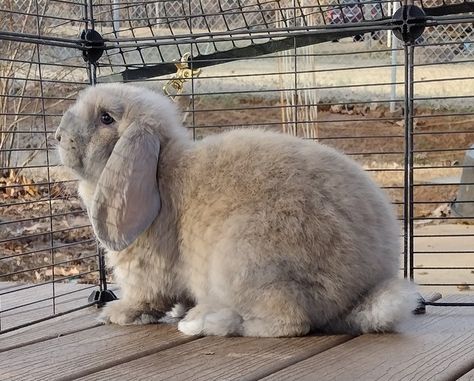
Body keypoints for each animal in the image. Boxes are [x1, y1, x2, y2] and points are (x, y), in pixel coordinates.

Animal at [57, 82, 416, 336]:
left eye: (106, 118)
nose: (58, 136)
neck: (159, 170)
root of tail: (361, 290)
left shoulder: (145, 273)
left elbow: (145, 298)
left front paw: (118, 315)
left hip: (243, 256)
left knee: (289, 321)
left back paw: (204, 323)